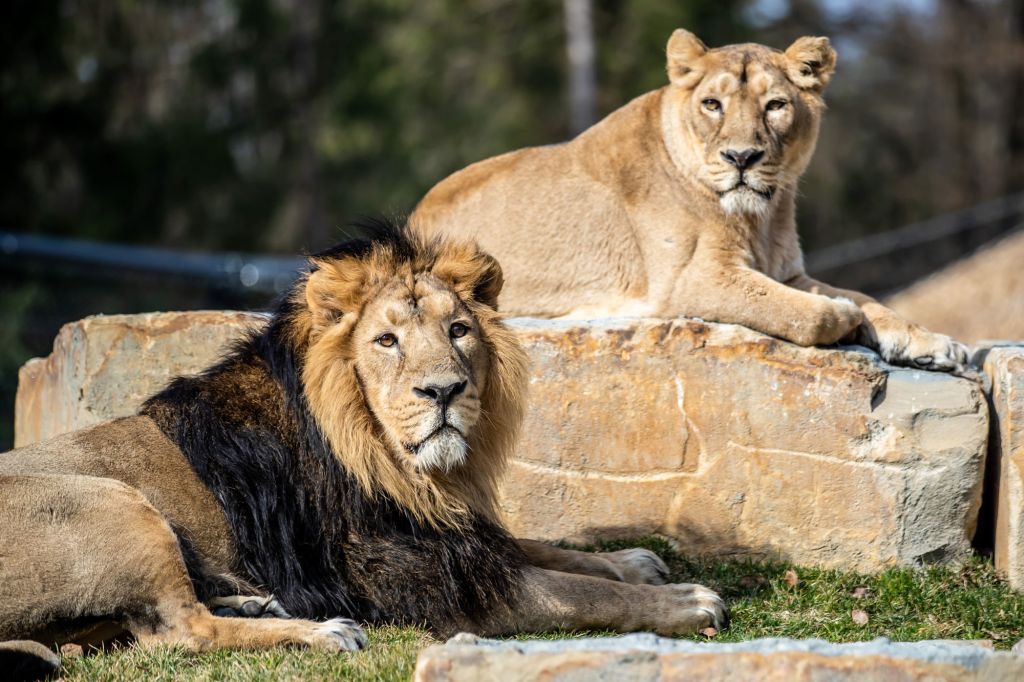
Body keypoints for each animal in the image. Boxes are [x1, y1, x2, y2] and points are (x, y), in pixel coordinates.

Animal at [0, 222, 729, 675]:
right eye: (386, 341)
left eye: (459, 330)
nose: (444, 390)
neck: (395, 463)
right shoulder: (431, 581)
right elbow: (578, 593)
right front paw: (688, 601)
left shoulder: (444, 534)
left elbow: (545, 549)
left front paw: (633, 561)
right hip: (114, 500)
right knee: (178, 632)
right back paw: (323, 630)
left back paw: (255, 602)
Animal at [413, 29, 966, 368]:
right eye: (712, 104)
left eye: (776, 106)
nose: (741, 157)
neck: (762, 216)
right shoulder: (690, 281)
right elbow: (807, 311)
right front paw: (845, 318)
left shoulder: (789, 272)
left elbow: (868, 299)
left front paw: (934, 343)